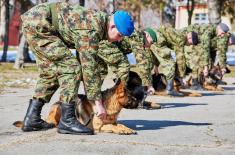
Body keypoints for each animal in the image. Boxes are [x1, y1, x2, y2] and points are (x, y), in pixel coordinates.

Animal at [13, 71, 145, 134]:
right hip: (57, 109)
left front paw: (125, 128)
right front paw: (122, 130)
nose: (140, 104)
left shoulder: (113, 122)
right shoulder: (97, 126)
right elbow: (110, 126)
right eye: (132, 97)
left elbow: (119, 124)